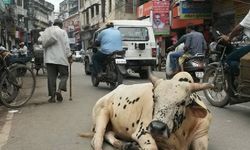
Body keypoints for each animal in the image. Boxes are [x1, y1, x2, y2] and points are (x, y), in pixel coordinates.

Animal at [81, 71, 213, 150]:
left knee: (109, 133)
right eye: (154, 97)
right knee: (97, 139)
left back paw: (124, 145)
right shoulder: (143, 133)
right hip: (102, 115)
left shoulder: (201, 136)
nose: (157, 128)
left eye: (182, 102)